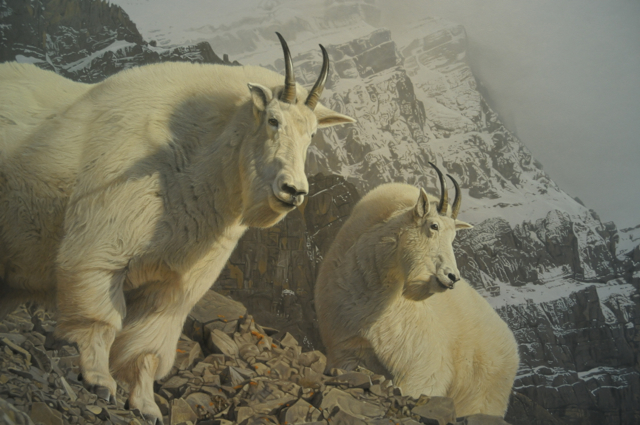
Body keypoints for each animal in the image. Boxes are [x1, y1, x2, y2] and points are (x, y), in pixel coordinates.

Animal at [0, 33, 354, 420]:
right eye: (273, 120)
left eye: (313, 135)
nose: (293, 191)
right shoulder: (100, 251)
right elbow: (100, 320)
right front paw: (99, 381)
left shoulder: (174, 285)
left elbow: (148, 347)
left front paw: (146, 407)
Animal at [314, 164, 519, 417]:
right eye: (434, 226)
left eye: (454, 236)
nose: (452, 277)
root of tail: (512, 346)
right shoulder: (345, 351)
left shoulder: (422, 368)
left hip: (483, 397)